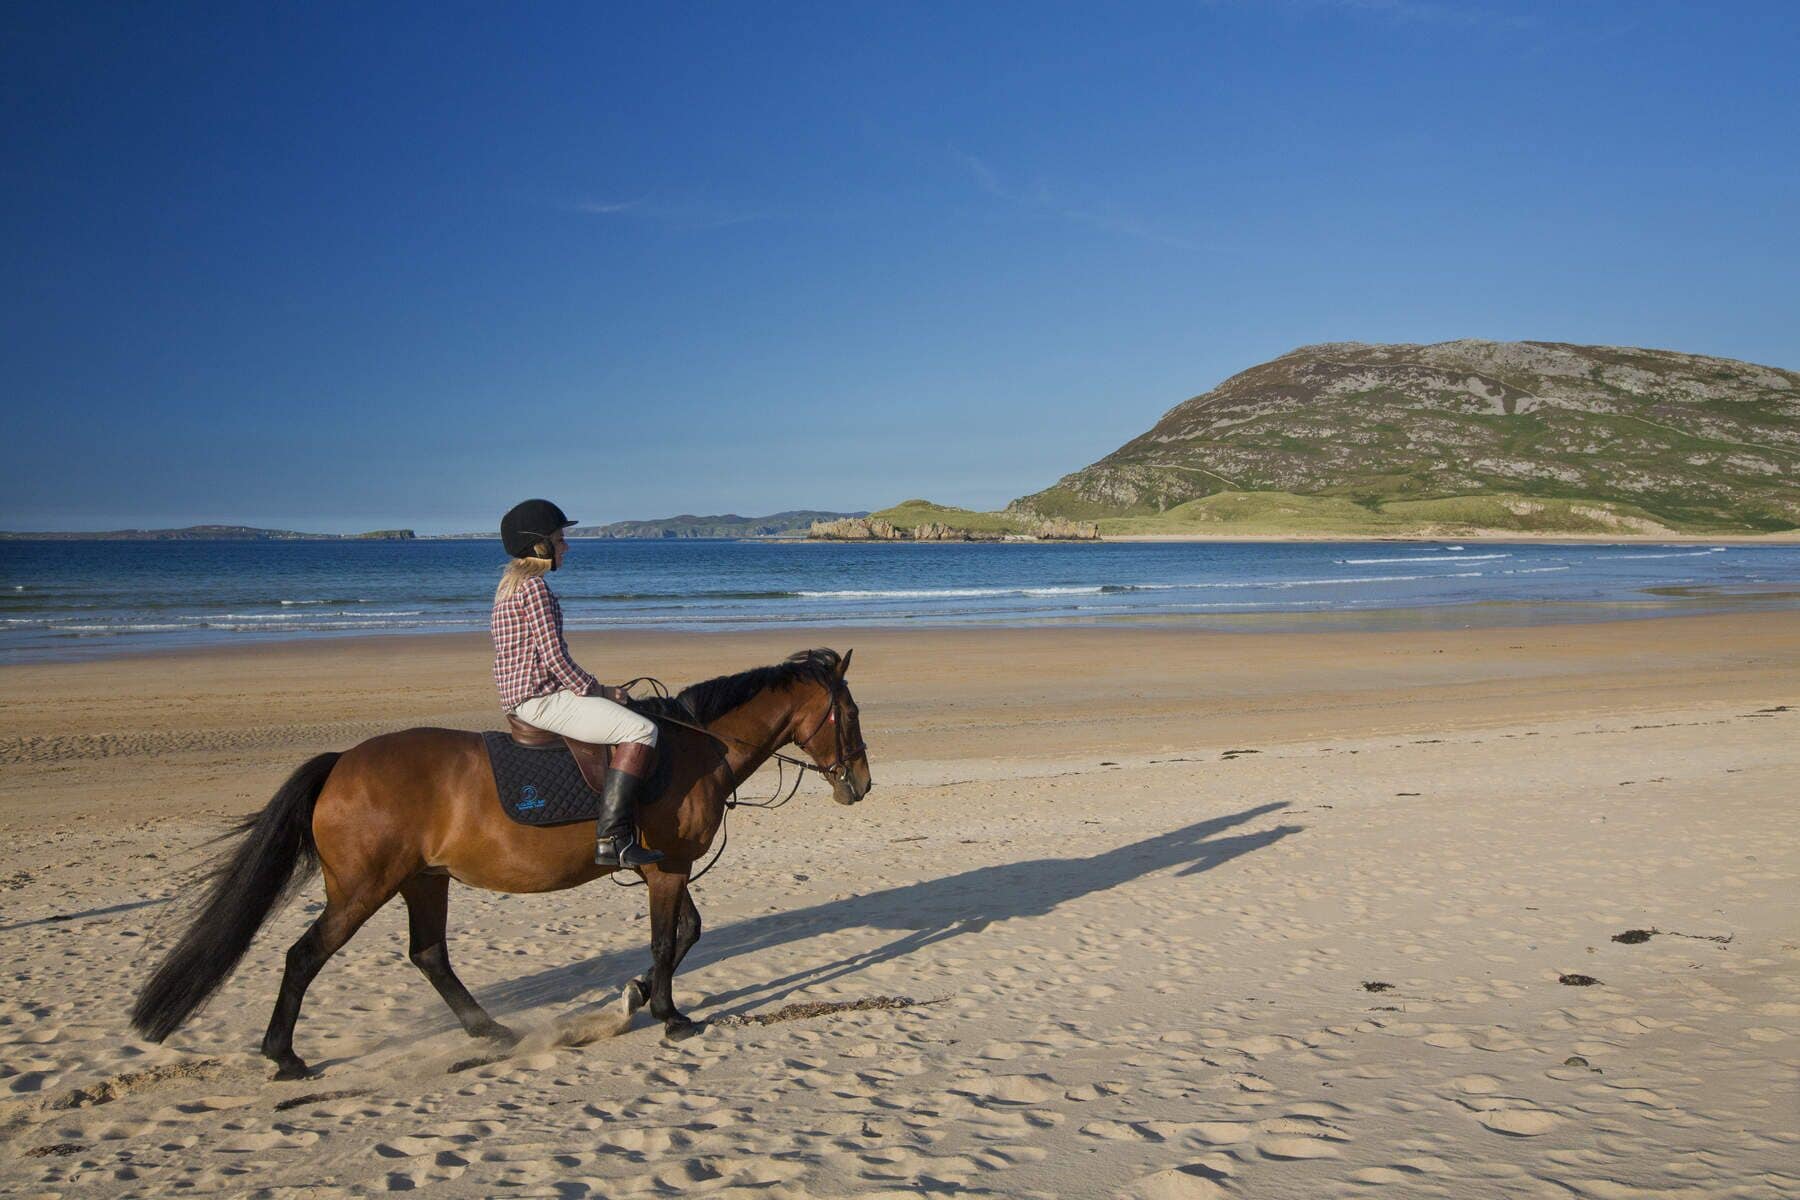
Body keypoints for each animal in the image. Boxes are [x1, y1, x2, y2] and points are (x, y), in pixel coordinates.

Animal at [129, 647, 872, 1079]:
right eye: (851, 714)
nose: (860, 784)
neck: (694, 746)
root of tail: (341, 764)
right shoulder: (666, 869)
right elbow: (669, 939)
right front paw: (668, 1014)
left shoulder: (667, 866)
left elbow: (686, 934)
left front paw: (635, 995)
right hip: (364, 888)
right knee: (305, 955)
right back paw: (284, 1056)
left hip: (422, 881)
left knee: (429, 955)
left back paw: (493, 1031)